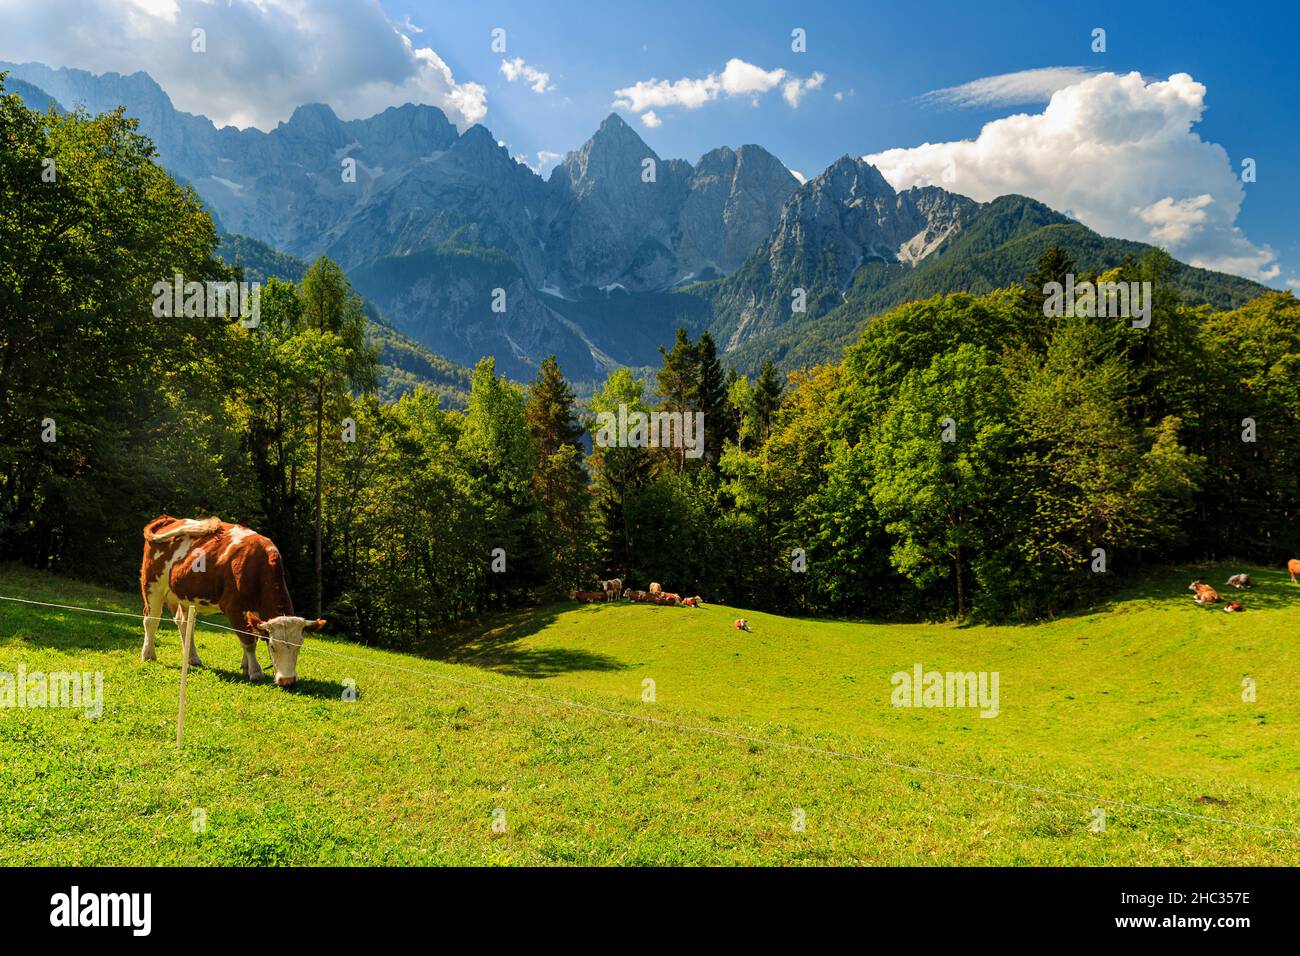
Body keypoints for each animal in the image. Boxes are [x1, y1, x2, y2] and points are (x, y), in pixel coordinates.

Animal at [140, 515, 325, 686]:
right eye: (273, 646)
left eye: (299, 645)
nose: (287, 680)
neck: (257, 567)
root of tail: (169, 519)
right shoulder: (233, 607)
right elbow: (248, 640)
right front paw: (256, 671)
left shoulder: (253, 613)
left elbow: (252, 635)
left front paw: (246, 666)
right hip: (152, 586)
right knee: (151, 620)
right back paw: (148, 654)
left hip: (184, 595)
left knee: (184, 624)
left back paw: (192, 658)